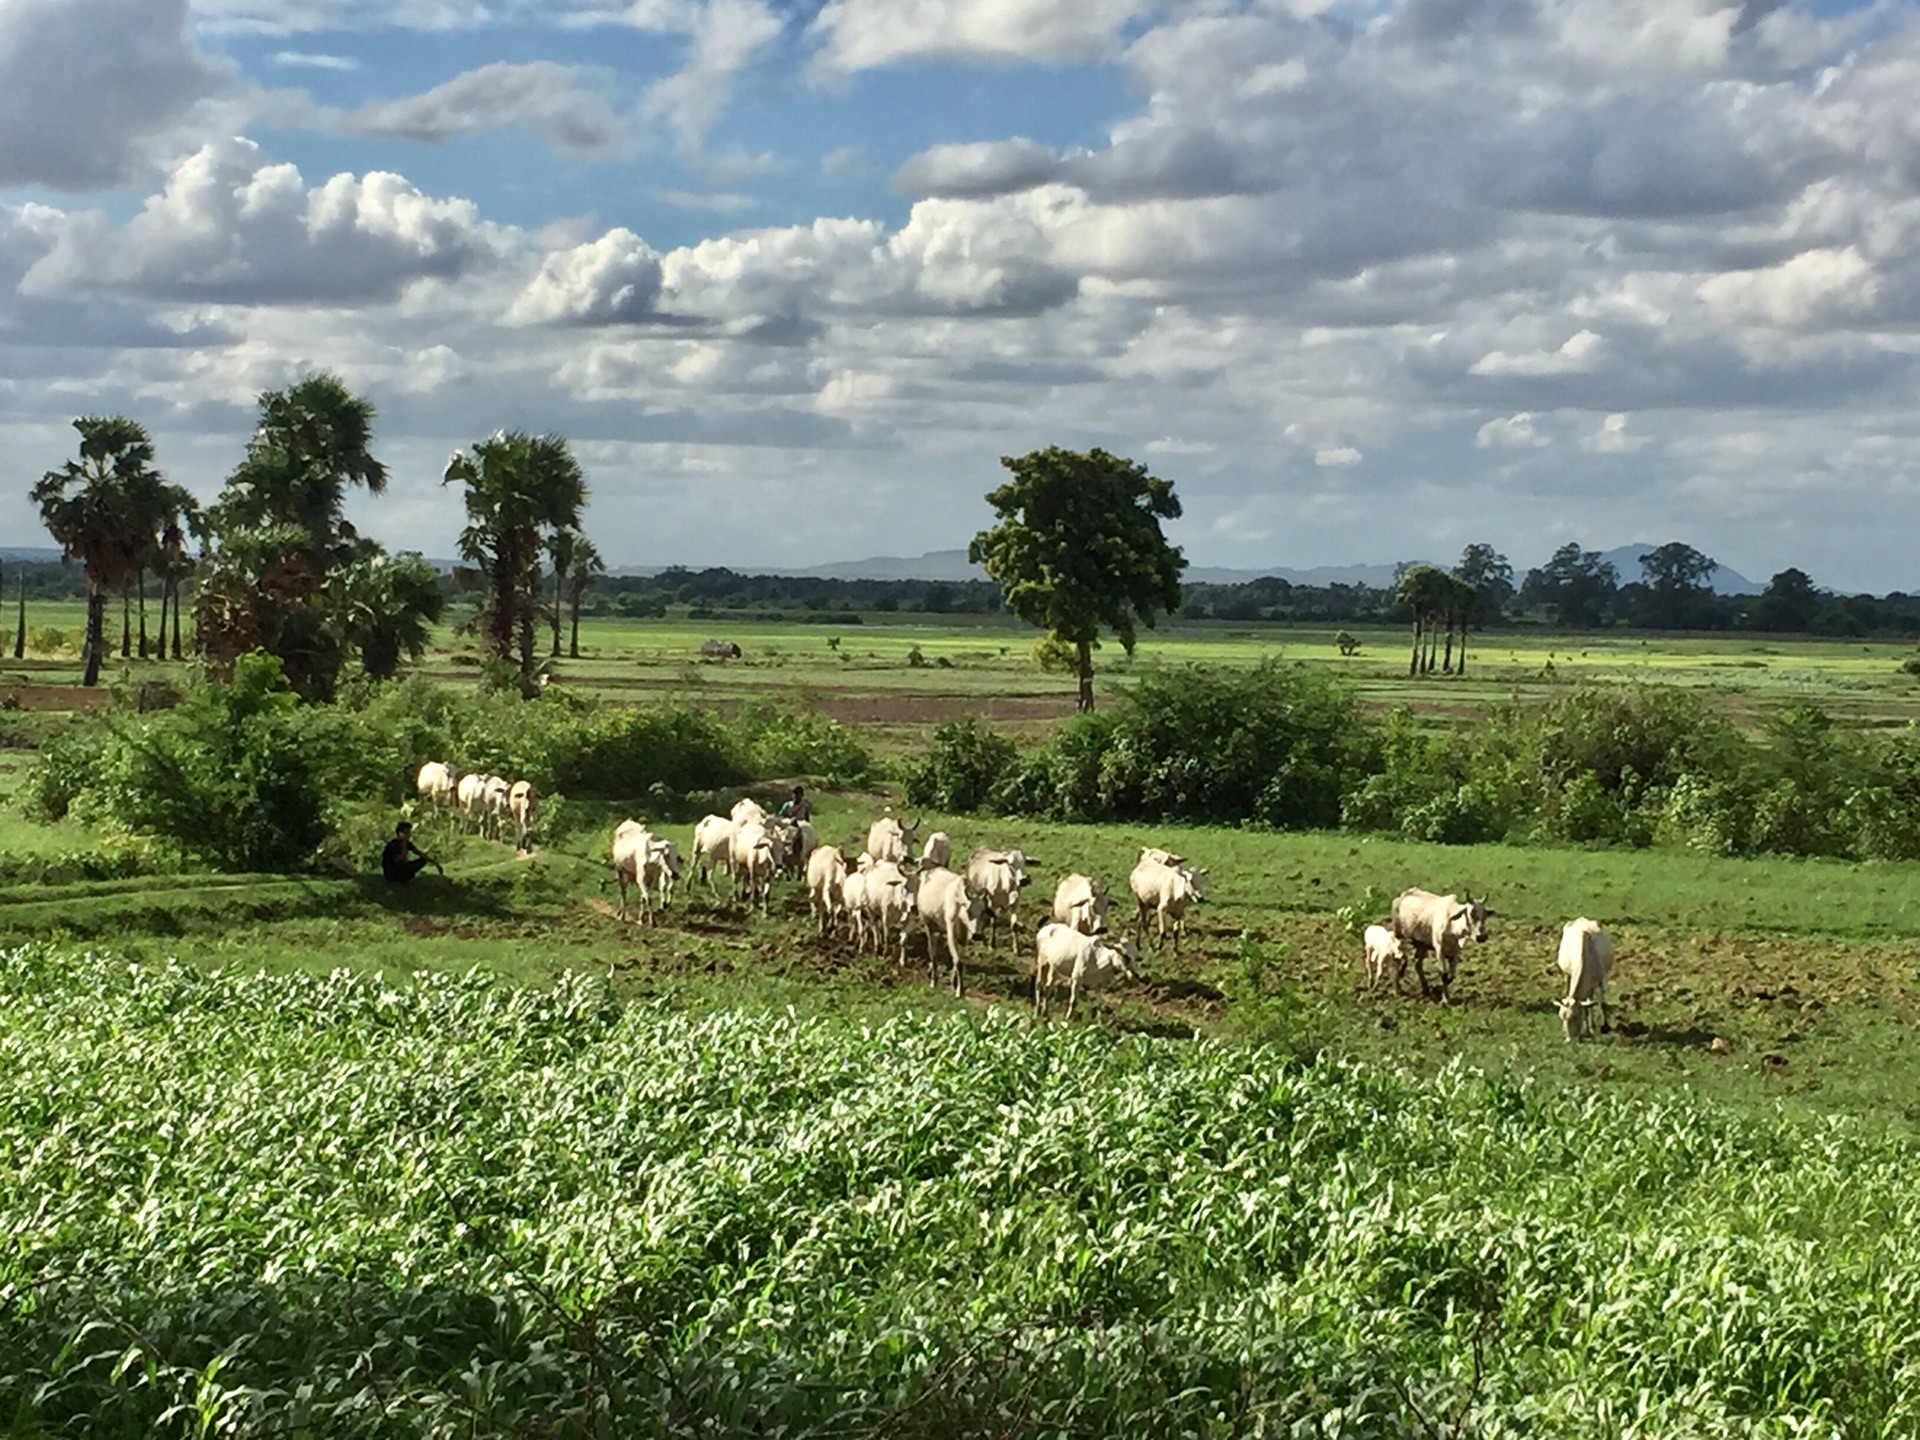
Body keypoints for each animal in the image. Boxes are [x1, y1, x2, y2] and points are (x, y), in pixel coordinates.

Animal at [913, 867, 990, 1006]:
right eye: (969, 912)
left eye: (983, 912)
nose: (977, 935)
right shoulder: (951, 932)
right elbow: (958, 962)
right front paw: (960, 991)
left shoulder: (963, 938)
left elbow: (958, 960)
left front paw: (954, 982)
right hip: (929, 925)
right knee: (932, 952)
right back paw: (933, 980)